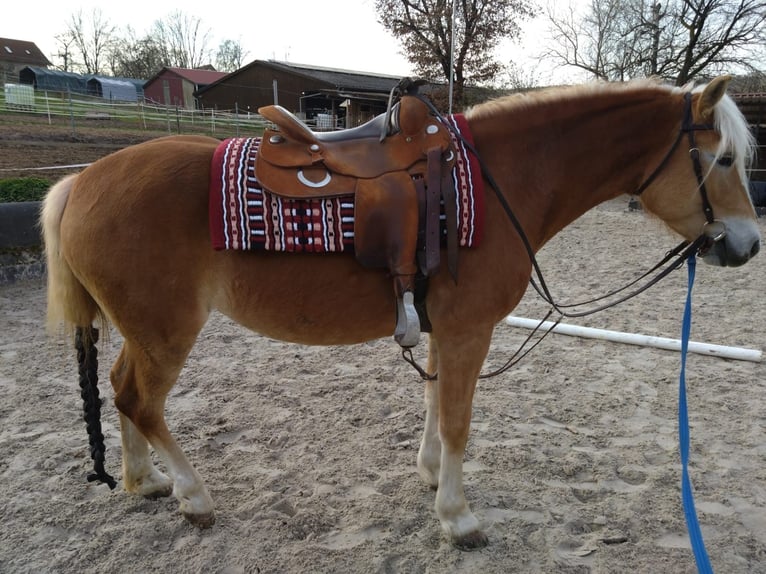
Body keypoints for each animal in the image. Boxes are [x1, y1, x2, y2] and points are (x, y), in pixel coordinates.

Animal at [42, 74, 760, 552]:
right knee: (142, 401)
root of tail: (81, 180)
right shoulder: (471, 330)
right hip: (166, 332)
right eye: (723, 158)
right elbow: (459, 420)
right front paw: (458, 517)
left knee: (121, 392)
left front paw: (429, 475)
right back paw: (192, 496)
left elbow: (436, 404)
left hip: (141, 331)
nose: (748, 245)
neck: (498, 181)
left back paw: (144, 481)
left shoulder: (447, 329)